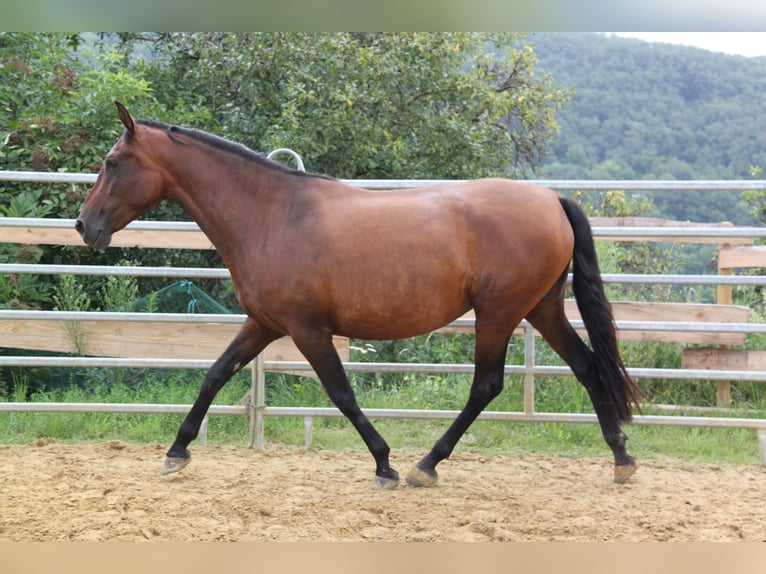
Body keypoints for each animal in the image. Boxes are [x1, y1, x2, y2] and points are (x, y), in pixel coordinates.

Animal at [76, 102, 640, 490]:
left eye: (112, 161)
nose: (84, 226)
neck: (273, 216)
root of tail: (551, 199)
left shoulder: (307, 330)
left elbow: (341, 393)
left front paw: (384, 464)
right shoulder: (263, 324)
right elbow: (215, 374)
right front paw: (177, 451)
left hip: (498, 313)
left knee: (487, 385)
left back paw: (425, 465)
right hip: (540, 308)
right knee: (587, 366)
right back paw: (622, 459)